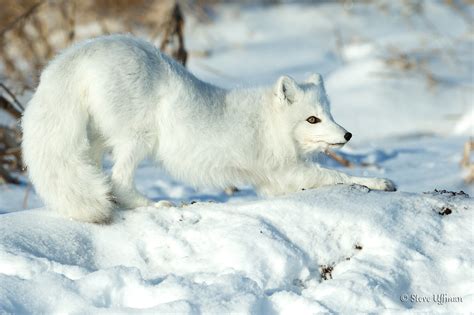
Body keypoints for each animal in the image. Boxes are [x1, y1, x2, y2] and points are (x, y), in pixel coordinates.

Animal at [21, 34, 396, 223]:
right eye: (312, 119)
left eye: (329, 114)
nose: (347, 135)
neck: (267, 123)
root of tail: (83, 51)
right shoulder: (285, 172)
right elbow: (337, 175)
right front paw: (379, 181)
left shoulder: (273, 183)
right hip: (139, 138)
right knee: (119, 180)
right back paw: (155, 205)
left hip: (97, 139)